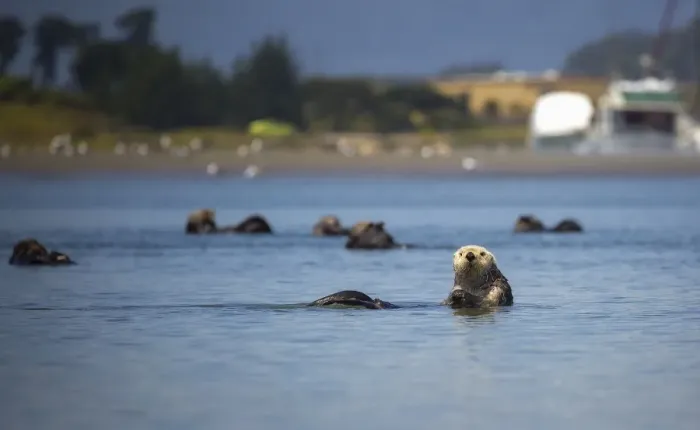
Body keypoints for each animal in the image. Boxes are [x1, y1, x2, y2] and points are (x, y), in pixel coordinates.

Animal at [309, 245, 512, 310]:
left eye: (482, 253)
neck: (473, 286)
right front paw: (456, 296)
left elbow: (487, 301)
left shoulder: (497, 289)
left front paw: (462, 296)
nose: (470, 255)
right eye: (462, 253)